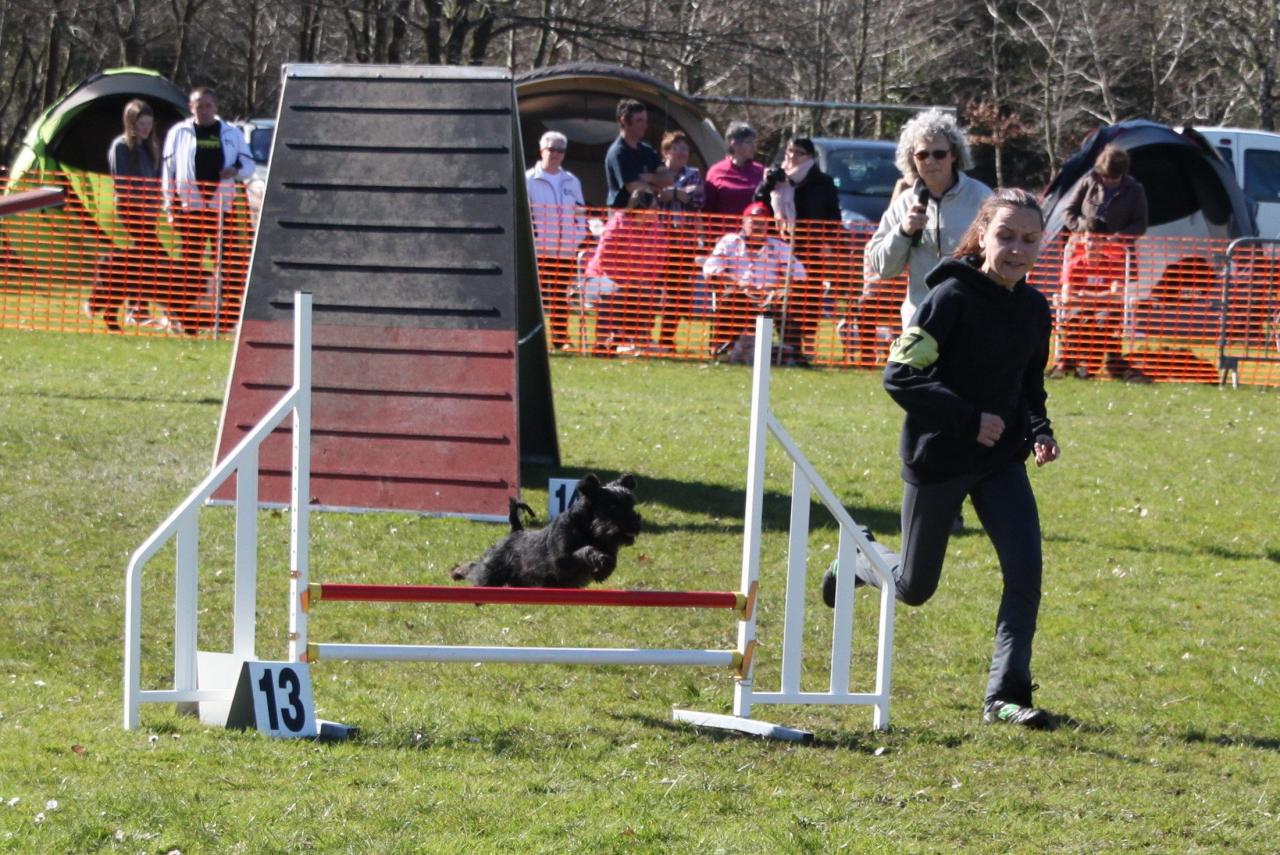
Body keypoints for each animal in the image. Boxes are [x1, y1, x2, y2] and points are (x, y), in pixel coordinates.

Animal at [450, 474, 641, 588]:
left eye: (632, 504)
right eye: (612, 506)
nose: (635, 524)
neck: (588, 529)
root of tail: (515, 531)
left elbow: (611, 560)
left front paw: (603, 570)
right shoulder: (561, 559)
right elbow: (585, 550)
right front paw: (599, 559)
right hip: (489, 575)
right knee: (474, 568)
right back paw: (457, 572)